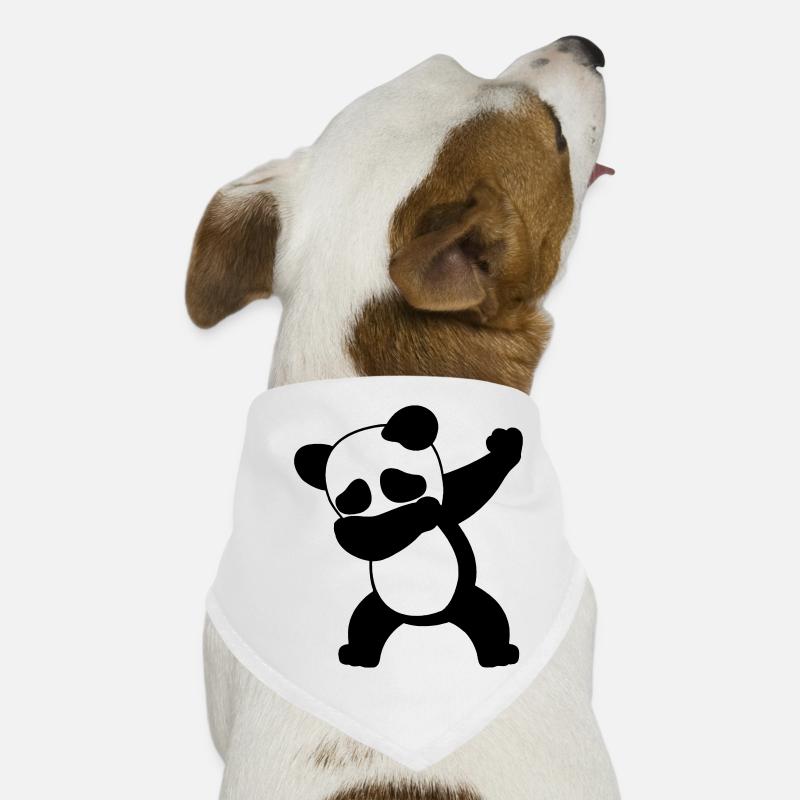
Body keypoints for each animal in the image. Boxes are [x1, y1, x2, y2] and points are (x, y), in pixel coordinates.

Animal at [294, 404, 523, 668]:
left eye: (396, 482)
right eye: (354, 496)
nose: (381, 510)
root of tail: (425, 620)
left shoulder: (450, 502)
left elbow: (473, 483)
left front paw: (505, 445)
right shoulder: (354, 528)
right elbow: (370, 537)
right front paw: (420, 512)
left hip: (466, 601)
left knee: (490, 620)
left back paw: (499, 654)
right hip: (380, 606)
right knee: (363, 625)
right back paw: (357, 655)